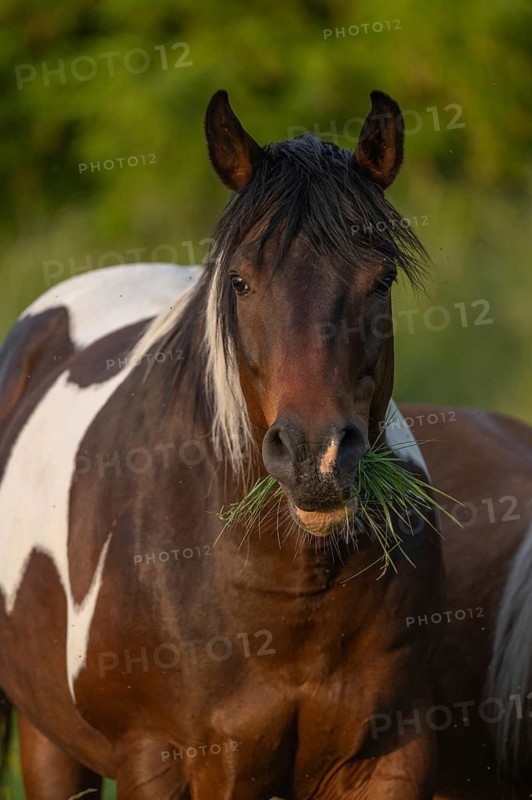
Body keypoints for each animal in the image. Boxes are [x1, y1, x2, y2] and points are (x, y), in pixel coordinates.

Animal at [0, 89, 529, 800]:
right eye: (241, 282)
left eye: (382, 280)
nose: (317, 456)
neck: (288, 590)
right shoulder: (156, 761)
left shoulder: (393, 757)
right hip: (50, 744)